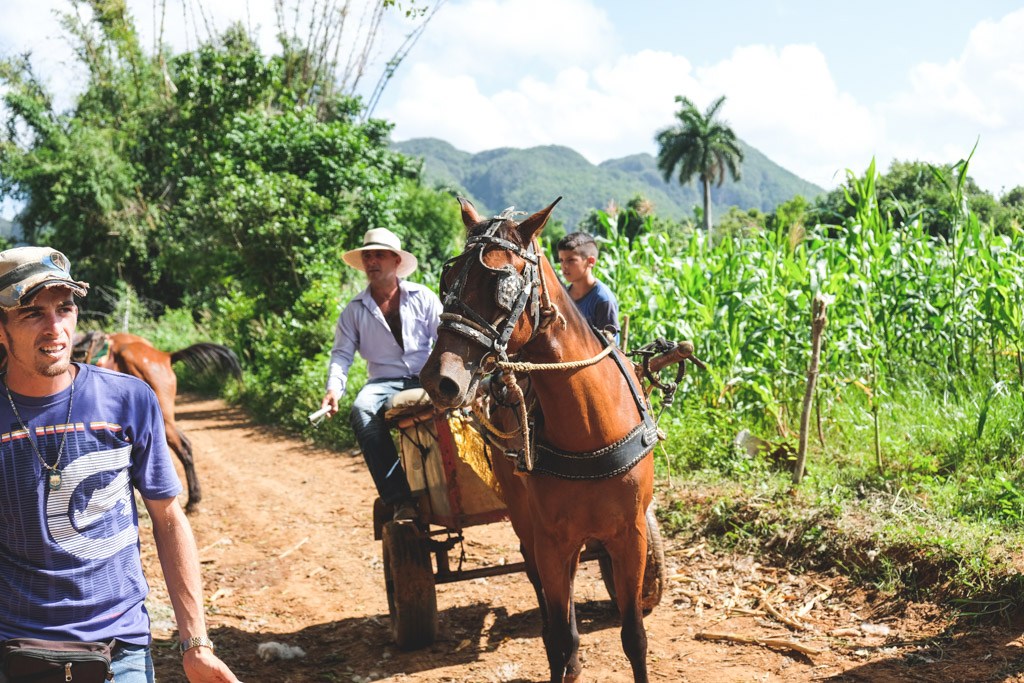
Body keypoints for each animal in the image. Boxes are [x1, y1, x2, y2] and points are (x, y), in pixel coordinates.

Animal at [421, 194, 655, 679]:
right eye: (448, 280)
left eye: (502, 284)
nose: (439, 380)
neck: (590, 431)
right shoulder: (550, 539)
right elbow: (560, 636)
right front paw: (564, 654)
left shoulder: (632, 534)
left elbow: (634, 636)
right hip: (526, 522)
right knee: (545, 599)